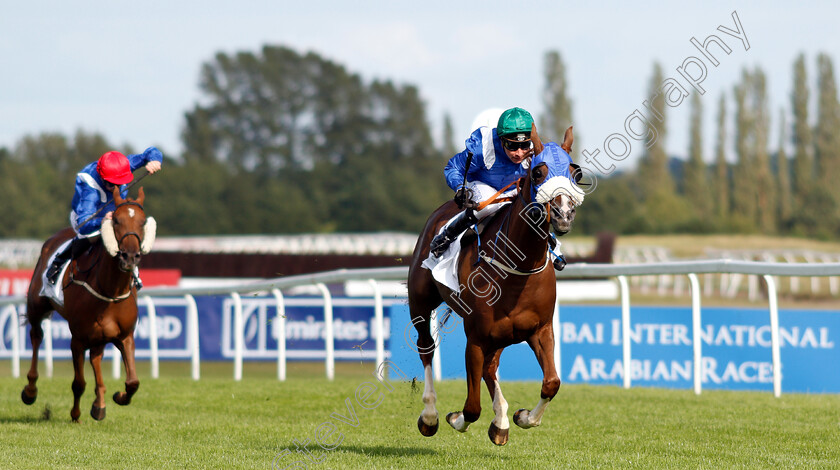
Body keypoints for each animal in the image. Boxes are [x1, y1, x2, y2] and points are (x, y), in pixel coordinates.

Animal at [23, 187, 157, 422]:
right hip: (37, 306)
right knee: (36, 336)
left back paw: (99, 403)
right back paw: (30, 390)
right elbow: (78, 383)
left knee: (96, 357)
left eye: (142, 222)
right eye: (117, 221)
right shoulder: (77, 339)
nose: (130, 256)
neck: (109, 290)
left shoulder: (125, 336)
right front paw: (75, 414)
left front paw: (117, 397)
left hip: (100, 336)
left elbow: (133, 382)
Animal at [408, 127, 580, 444]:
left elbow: (551, 382)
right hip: (421, 302)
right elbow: (471, 408)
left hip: (501, 335)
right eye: (538, 172)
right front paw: (455, 418)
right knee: (426, 347)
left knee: (491, 367)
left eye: (575, 173)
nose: (564, 214)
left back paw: (500, 420)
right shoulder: (476, 337)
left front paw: (523, 417)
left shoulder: (540, 329)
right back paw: (430, 415)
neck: (519, 270)